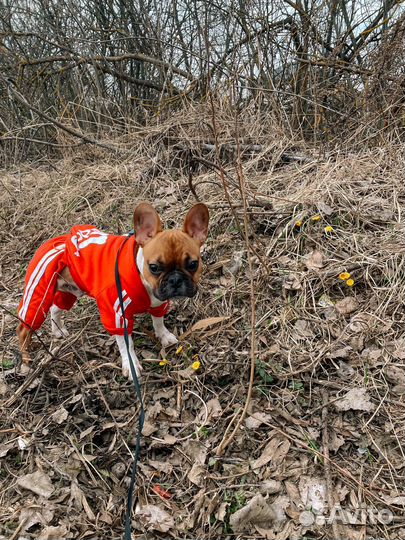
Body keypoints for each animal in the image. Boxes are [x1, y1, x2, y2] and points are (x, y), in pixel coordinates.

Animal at [15, 202, 208, 380]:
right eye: (154, 267)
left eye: (193, 264)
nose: (175, 279)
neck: (141, 276)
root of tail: (51, 242)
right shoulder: (118, 316)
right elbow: (126, 344)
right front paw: (131, 365)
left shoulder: (158, 303)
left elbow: (158, 321)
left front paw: (164, 336)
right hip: (39, 294)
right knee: (24, 328)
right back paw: (26, 363)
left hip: (70, 291)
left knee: (56, 308)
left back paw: (58, 331)